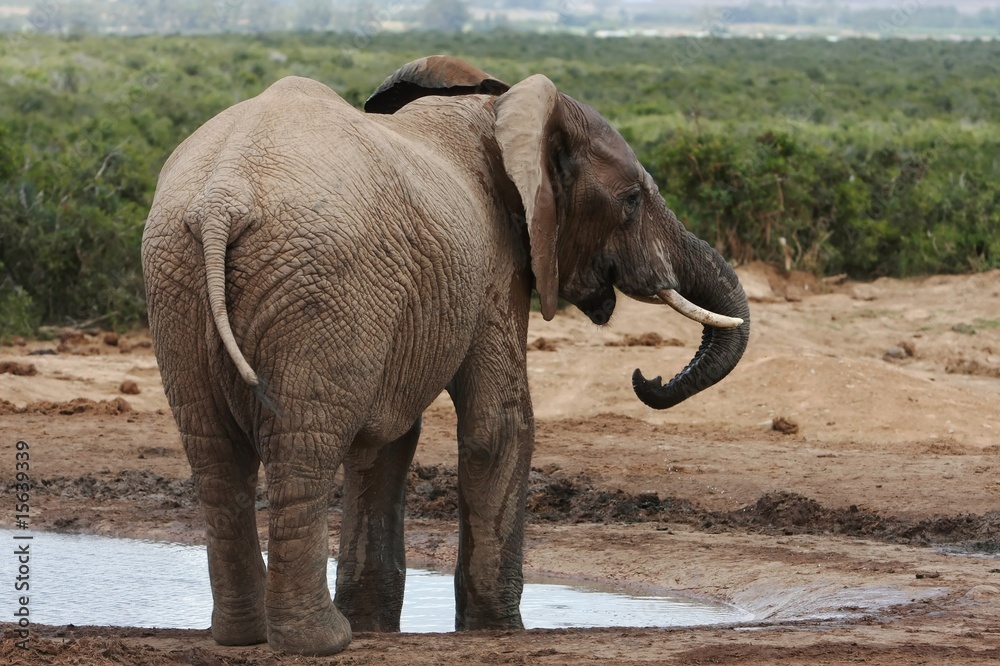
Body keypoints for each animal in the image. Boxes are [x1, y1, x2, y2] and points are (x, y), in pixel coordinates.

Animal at [141, 55, 749, 656]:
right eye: (631, 201)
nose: (646, 377)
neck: (498, 110)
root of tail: (223, 198)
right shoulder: (497, 264)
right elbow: (499, 426)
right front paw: (497, 631)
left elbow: (386, 437)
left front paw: (375, 625)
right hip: (316, 284)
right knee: (302, 447)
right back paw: (320, 641)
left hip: (178, 279)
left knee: (217, 456)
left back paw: (246, 636)